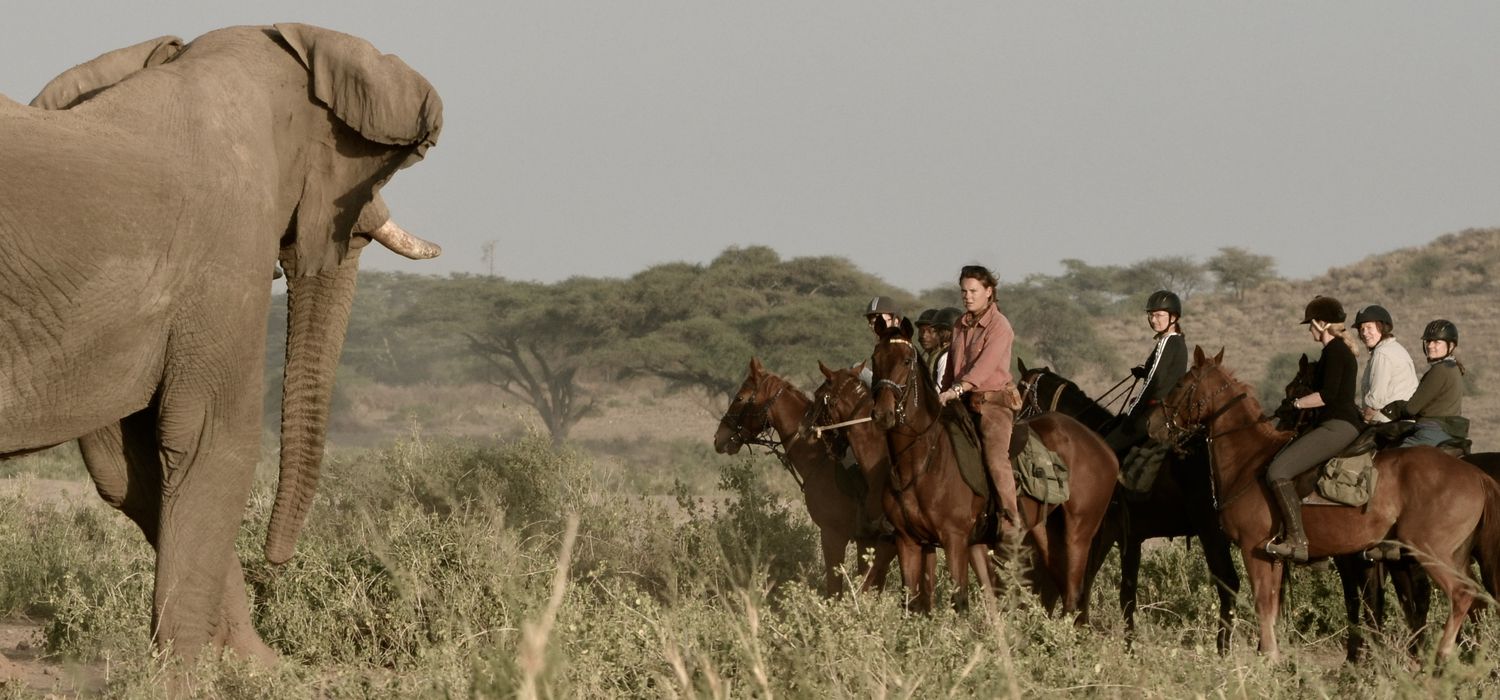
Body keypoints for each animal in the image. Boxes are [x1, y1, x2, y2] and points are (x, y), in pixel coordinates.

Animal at [0, 24, 441, 662]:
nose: (276, 560)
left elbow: (129, 470)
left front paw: (254, 664)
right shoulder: (225, 250)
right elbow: (215, 439)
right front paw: (194, 668)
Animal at [711, 361, 894, 596]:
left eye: (740, 398)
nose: (719, 437)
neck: (821, 458)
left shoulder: (833, 535)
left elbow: (837, 590)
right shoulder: (866, 540)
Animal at [864, 325, 1122, 614]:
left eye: (906, 361)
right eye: (875, 358)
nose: (883, 414)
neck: (921, 461)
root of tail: (1104, 447)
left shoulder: (955, 540)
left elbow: (959, 601)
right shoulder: (908, 541)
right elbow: (911, 602)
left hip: (1079, 534)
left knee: (1073, 595)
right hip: (1047, 533)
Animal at [1014, 361, 1248, 656]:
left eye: (1020, 388)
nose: (1015, 423)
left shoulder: (1101, 533)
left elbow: (1084, 580)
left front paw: (1078, 630)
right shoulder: (1129, 538)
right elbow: (1125, 593)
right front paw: (1125, 646)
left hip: (1211, 534)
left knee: (1228, 584)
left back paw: (1223, 651)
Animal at [1146, 349, 1500, 662]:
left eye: (1180, 384)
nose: (1153, 424)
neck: (1249, 460)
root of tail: (1477, 475)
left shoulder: (1253, 548)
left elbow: (1264, 602)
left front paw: (1269, 657)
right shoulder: (1272, 555)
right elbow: (1272, 605)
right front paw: (1271, 656)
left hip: (1430, 551)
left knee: (1462, 596)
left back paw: (1442, 658)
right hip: (1454, 555)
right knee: (1476, 599)